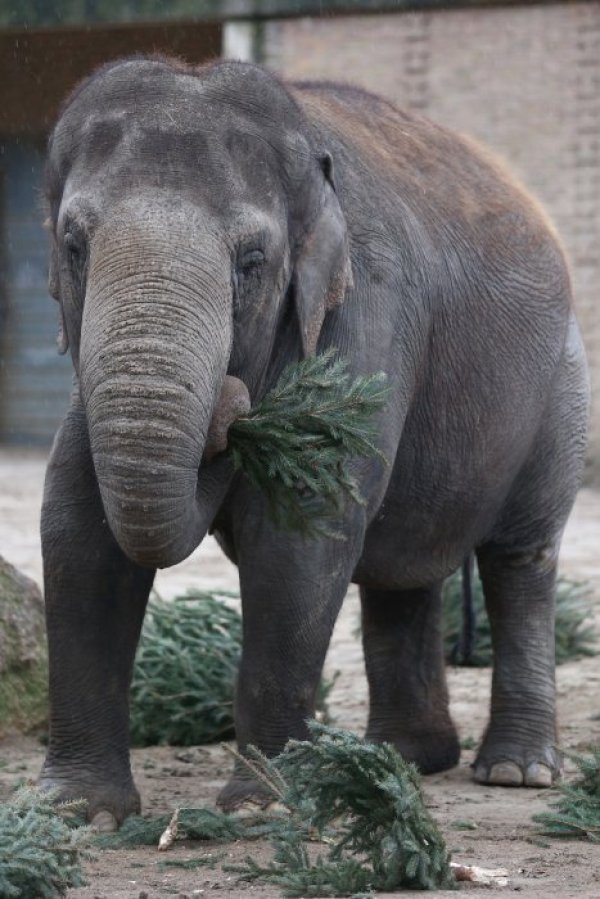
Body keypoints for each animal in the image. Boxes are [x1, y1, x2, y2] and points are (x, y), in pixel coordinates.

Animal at [41, 56, 592, 828]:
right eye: (74, 245)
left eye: (251, 260)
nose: (234, 400)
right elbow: (77, 529)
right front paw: (75, 813)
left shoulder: (364, 310)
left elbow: (300, 539)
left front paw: (262, 808)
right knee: (401, 572)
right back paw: (406, 759)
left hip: (560, 388)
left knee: (520, 559)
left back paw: (515, 772)